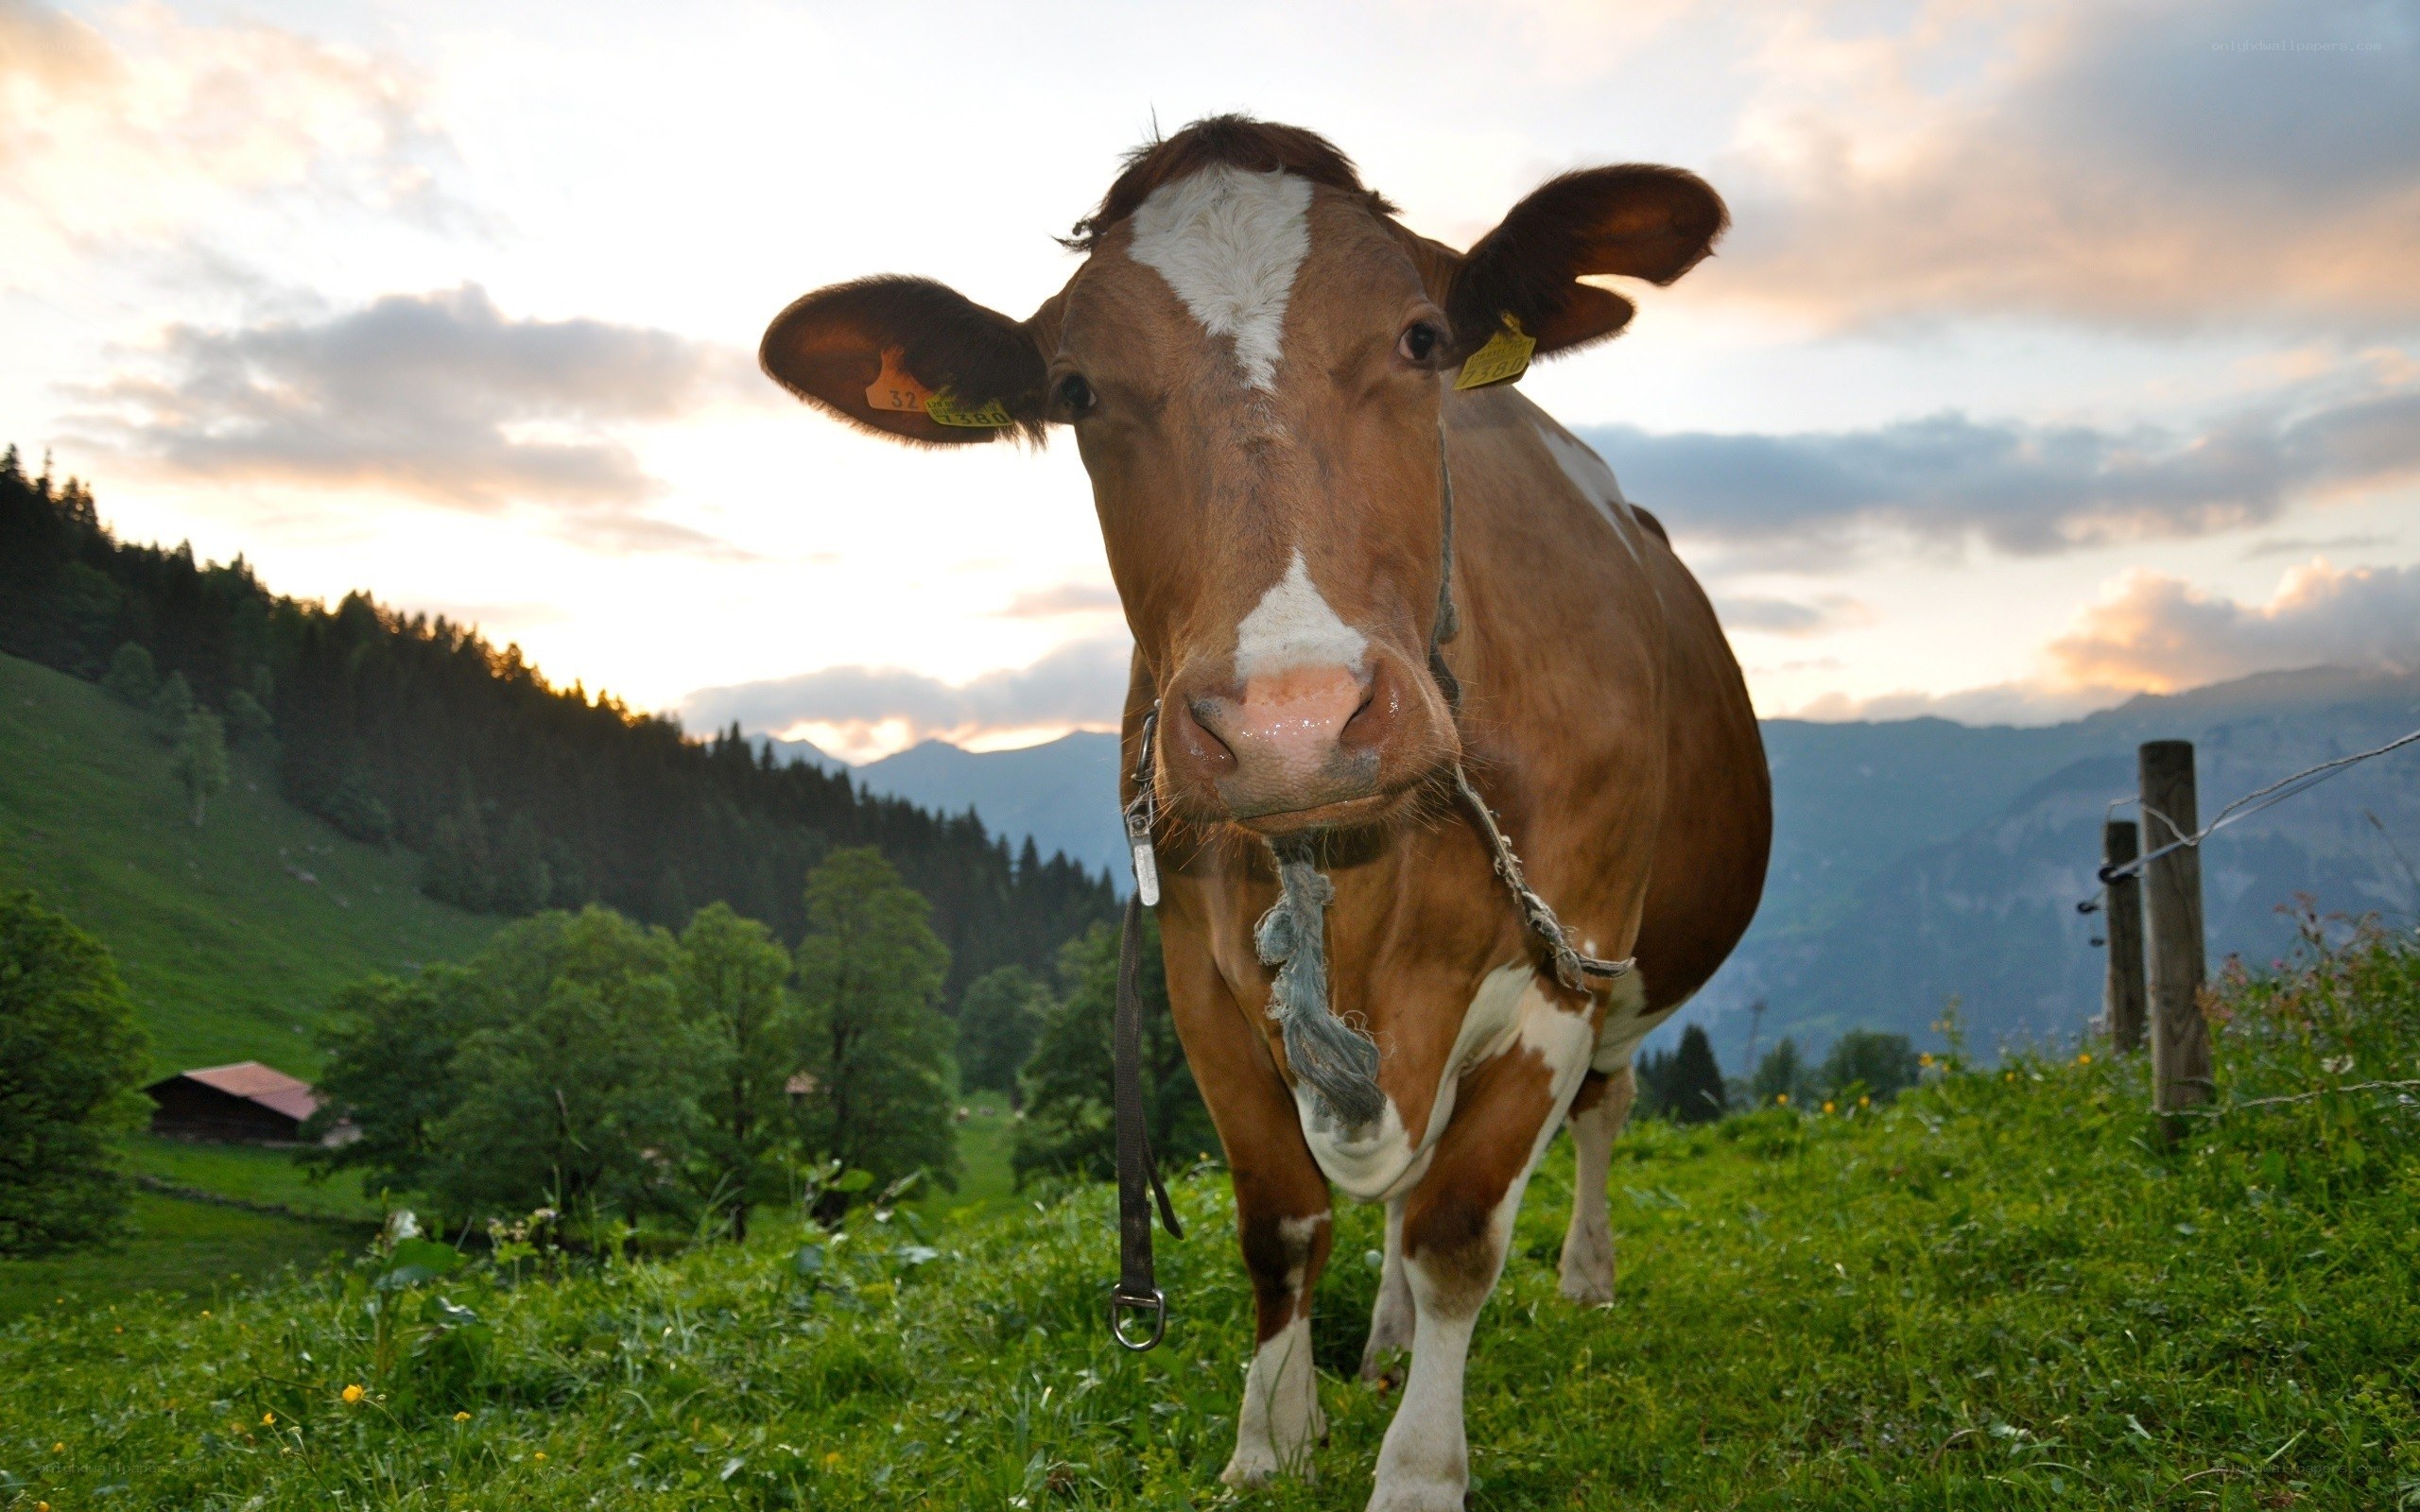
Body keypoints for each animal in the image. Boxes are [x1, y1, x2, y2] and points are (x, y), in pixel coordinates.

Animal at [760, 116, 1770, 1512]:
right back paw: (1383, 1346)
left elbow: (1459, 1228)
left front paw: (1418, 1472)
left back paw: (1582, 1279)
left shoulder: (1561, 954)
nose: (1294, 719)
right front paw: (1270, 1439)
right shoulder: (1196, 972)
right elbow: (1282, 1222)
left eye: (1423, 339)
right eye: (1077, 392)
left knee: (1597, 1116)